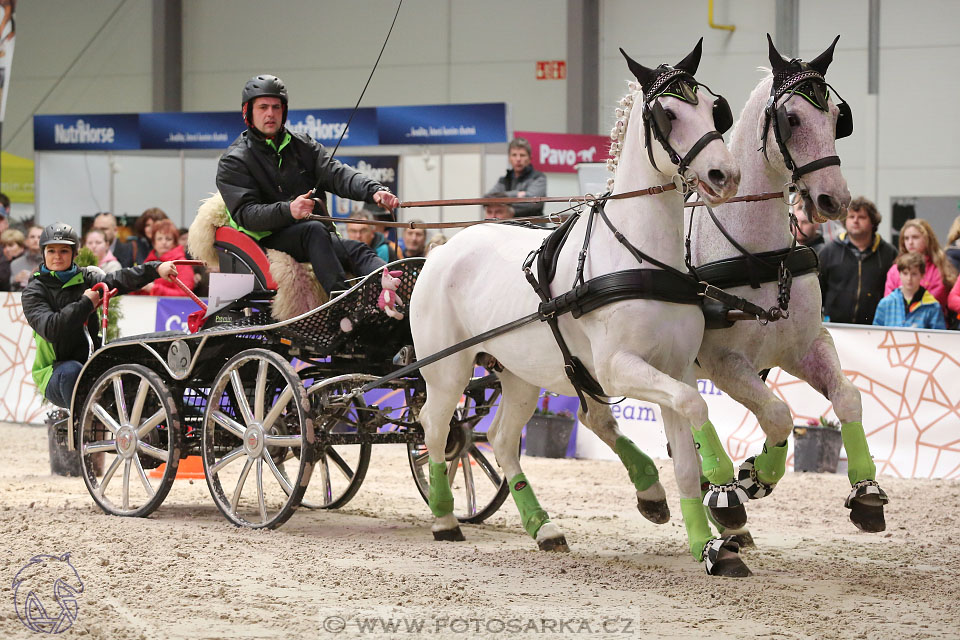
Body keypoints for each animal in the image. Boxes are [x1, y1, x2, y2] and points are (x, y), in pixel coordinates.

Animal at [404, 42, 752, 576]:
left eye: (716, 109)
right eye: (667, 114)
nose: (724, 175)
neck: (640, 258)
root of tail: (441, 249)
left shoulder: (674, 370)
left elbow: (686, 450)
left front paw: (707, 543)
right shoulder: (616, 368)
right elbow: (694, 409)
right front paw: (726, 492)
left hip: (519, 374)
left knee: (501, 440)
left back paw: (545, 527)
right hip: (448, 370)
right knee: (438, 429)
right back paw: (445, 519)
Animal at [688, 36, 884, 536]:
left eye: (836, 116)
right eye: (791, 119)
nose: (835, 199)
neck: (758, 257)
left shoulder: (805, 346)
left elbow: (846, 397)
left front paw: (865, 492)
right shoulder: (722, 362)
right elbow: (778, 414)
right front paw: (752, 479)